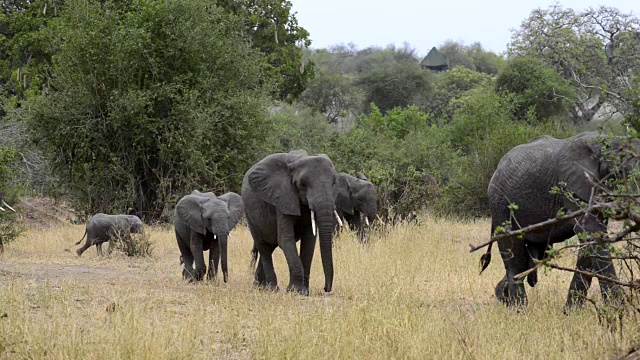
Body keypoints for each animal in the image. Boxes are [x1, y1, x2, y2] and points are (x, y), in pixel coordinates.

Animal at [241, 150, 342, 294]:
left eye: (334, 183)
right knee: (263, 246)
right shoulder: (282, 197)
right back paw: (271, 289)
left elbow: (309, 241)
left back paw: (259, 286)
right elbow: (285, 240)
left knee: (270, 246)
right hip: (249, 213)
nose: (325, 289)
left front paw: (305, 291)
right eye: (302, 184)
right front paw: (297, 291)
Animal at [484, 132, 636, 310]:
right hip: (500, 205)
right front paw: (620, 310)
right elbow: (592, 231)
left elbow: (589, 242)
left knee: (527, 259)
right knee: (514, 257)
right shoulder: (572, 187)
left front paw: (571, 311)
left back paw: (503, 297)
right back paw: (519, 309)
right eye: (619, 171)